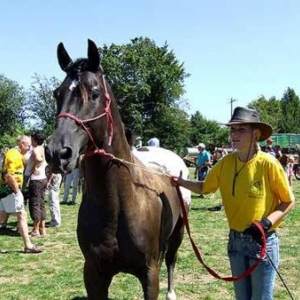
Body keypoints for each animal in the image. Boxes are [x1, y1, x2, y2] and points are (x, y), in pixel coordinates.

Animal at [45, 39, 185, 300]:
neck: (121, 201)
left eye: (94, 93)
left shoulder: (149, 274)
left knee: (171, 259)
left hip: (178, 234)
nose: (57, 152)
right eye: (57, 94)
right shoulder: (94, 274)